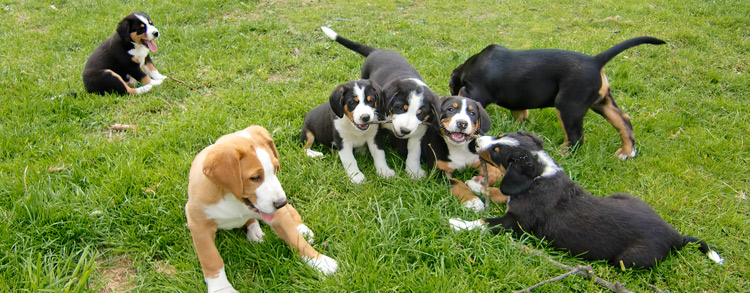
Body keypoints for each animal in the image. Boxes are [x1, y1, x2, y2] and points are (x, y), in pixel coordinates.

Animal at [187, 126, 340, 292]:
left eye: (276, 169)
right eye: (255, 178)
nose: (281, 202)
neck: (232, 199)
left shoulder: (278, 214)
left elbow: (294, 237)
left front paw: (320, 262)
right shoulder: (198, 225)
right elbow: (211, 258)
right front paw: (221, 288)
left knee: (291, 214)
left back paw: (301, 229)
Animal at [322, 26, 440, 178]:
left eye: (420, 112)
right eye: (400, 107)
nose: (405, 130)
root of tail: (377, 50)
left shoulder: (418, 131)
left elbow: (414, 154)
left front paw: (414, 172)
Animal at [450, 37, 668, 160]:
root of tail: (595, 61)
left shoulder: (474, 92)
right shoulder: (518, 100)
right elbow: (519, 113)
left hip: (568, 105)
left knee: (576, 137)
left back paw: (561, 154)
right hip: (601, 102)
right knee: (623, 120)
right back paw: (626, 152)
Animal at [450, 131, 724, 268]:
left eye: (497, 150)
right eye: (499, 136)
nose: (476, 140)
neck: (538, 177)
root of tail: (675, 235)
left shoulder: (516, 225)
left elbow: (486, 222)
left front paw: (457, 223)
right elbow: (501, 193)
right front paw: (476, 185)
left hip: (629, 259)